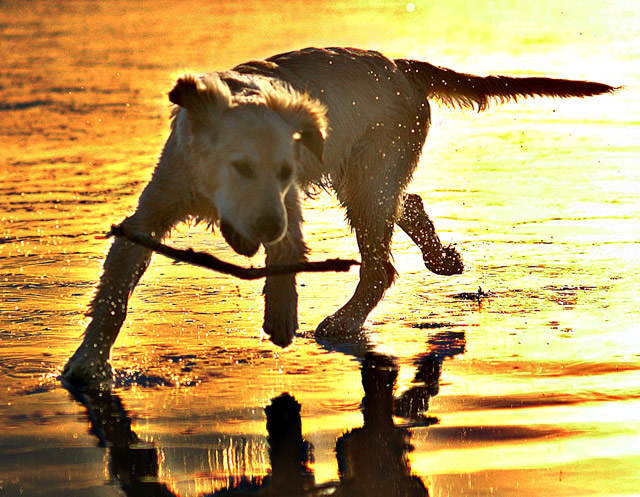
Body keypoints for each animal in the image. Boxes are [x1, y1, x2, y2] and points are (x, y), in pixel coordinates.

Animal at [62, 46, 616, 386]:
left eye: (284, 170)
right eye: (240, 166)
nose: (266, 227)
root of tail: (399, 65)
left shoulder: (287, 210)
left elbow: (285, 263)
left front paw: (281, 318)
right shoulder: (153, 210)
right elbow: (114, 293)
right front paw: (86, 364)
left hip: (369, 180)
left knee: (380, 267)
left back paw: (340, 322)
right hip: (371, 179)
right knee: (408, 205)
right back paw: (442, 259)